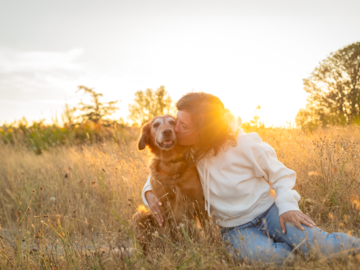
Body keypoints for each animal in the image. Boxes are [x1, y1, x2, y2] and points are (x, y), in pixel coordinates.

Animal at [131, 114, 207, 253]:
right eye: (156, 125)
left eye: (173, 122)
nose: (167, 131)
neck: (171, 165)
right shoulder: (162, 207)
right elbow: (167, 238)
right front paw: (169, 254)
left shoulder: (199, 201)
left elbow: (210, 230)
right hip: (140, 215)